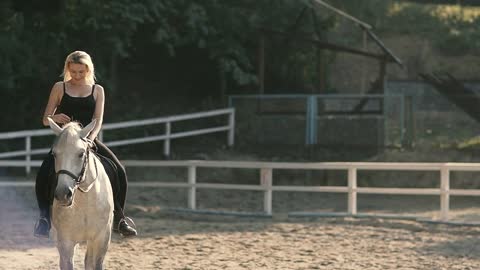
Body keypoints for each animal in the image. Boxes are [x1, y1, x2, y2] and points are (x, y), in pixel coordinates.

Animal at [48, 118, 114, 270]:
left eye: (81, 153)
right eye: (54, 154)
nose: (63, 194)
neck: (85, 201)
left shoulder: (101, 239)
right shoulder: (66, 241)